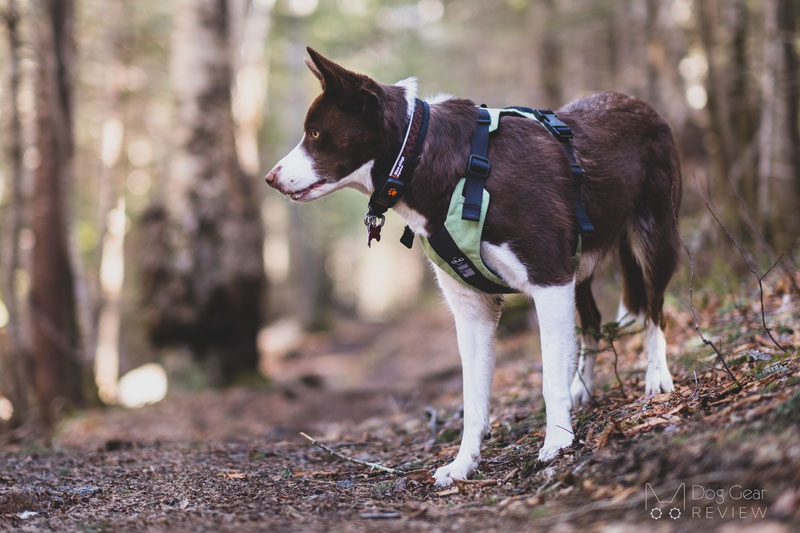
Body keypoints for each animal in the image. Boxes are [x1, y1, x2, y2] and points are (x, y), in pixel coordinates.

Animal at [264, 47, 680, 484]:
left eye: (314, 134)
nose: (270, 178)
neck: (440, 163)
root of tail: (637, 103)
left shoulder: (549, 280)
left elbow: (548, 380)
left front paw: (557, 443)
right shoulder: (474, 310)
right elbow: (474, 397)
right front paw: (464, 463)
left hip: (654, 238)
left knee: (655, 312)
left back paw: (656, 378)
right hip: (579, 263)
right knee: (594, 322)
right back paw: (581, 387)